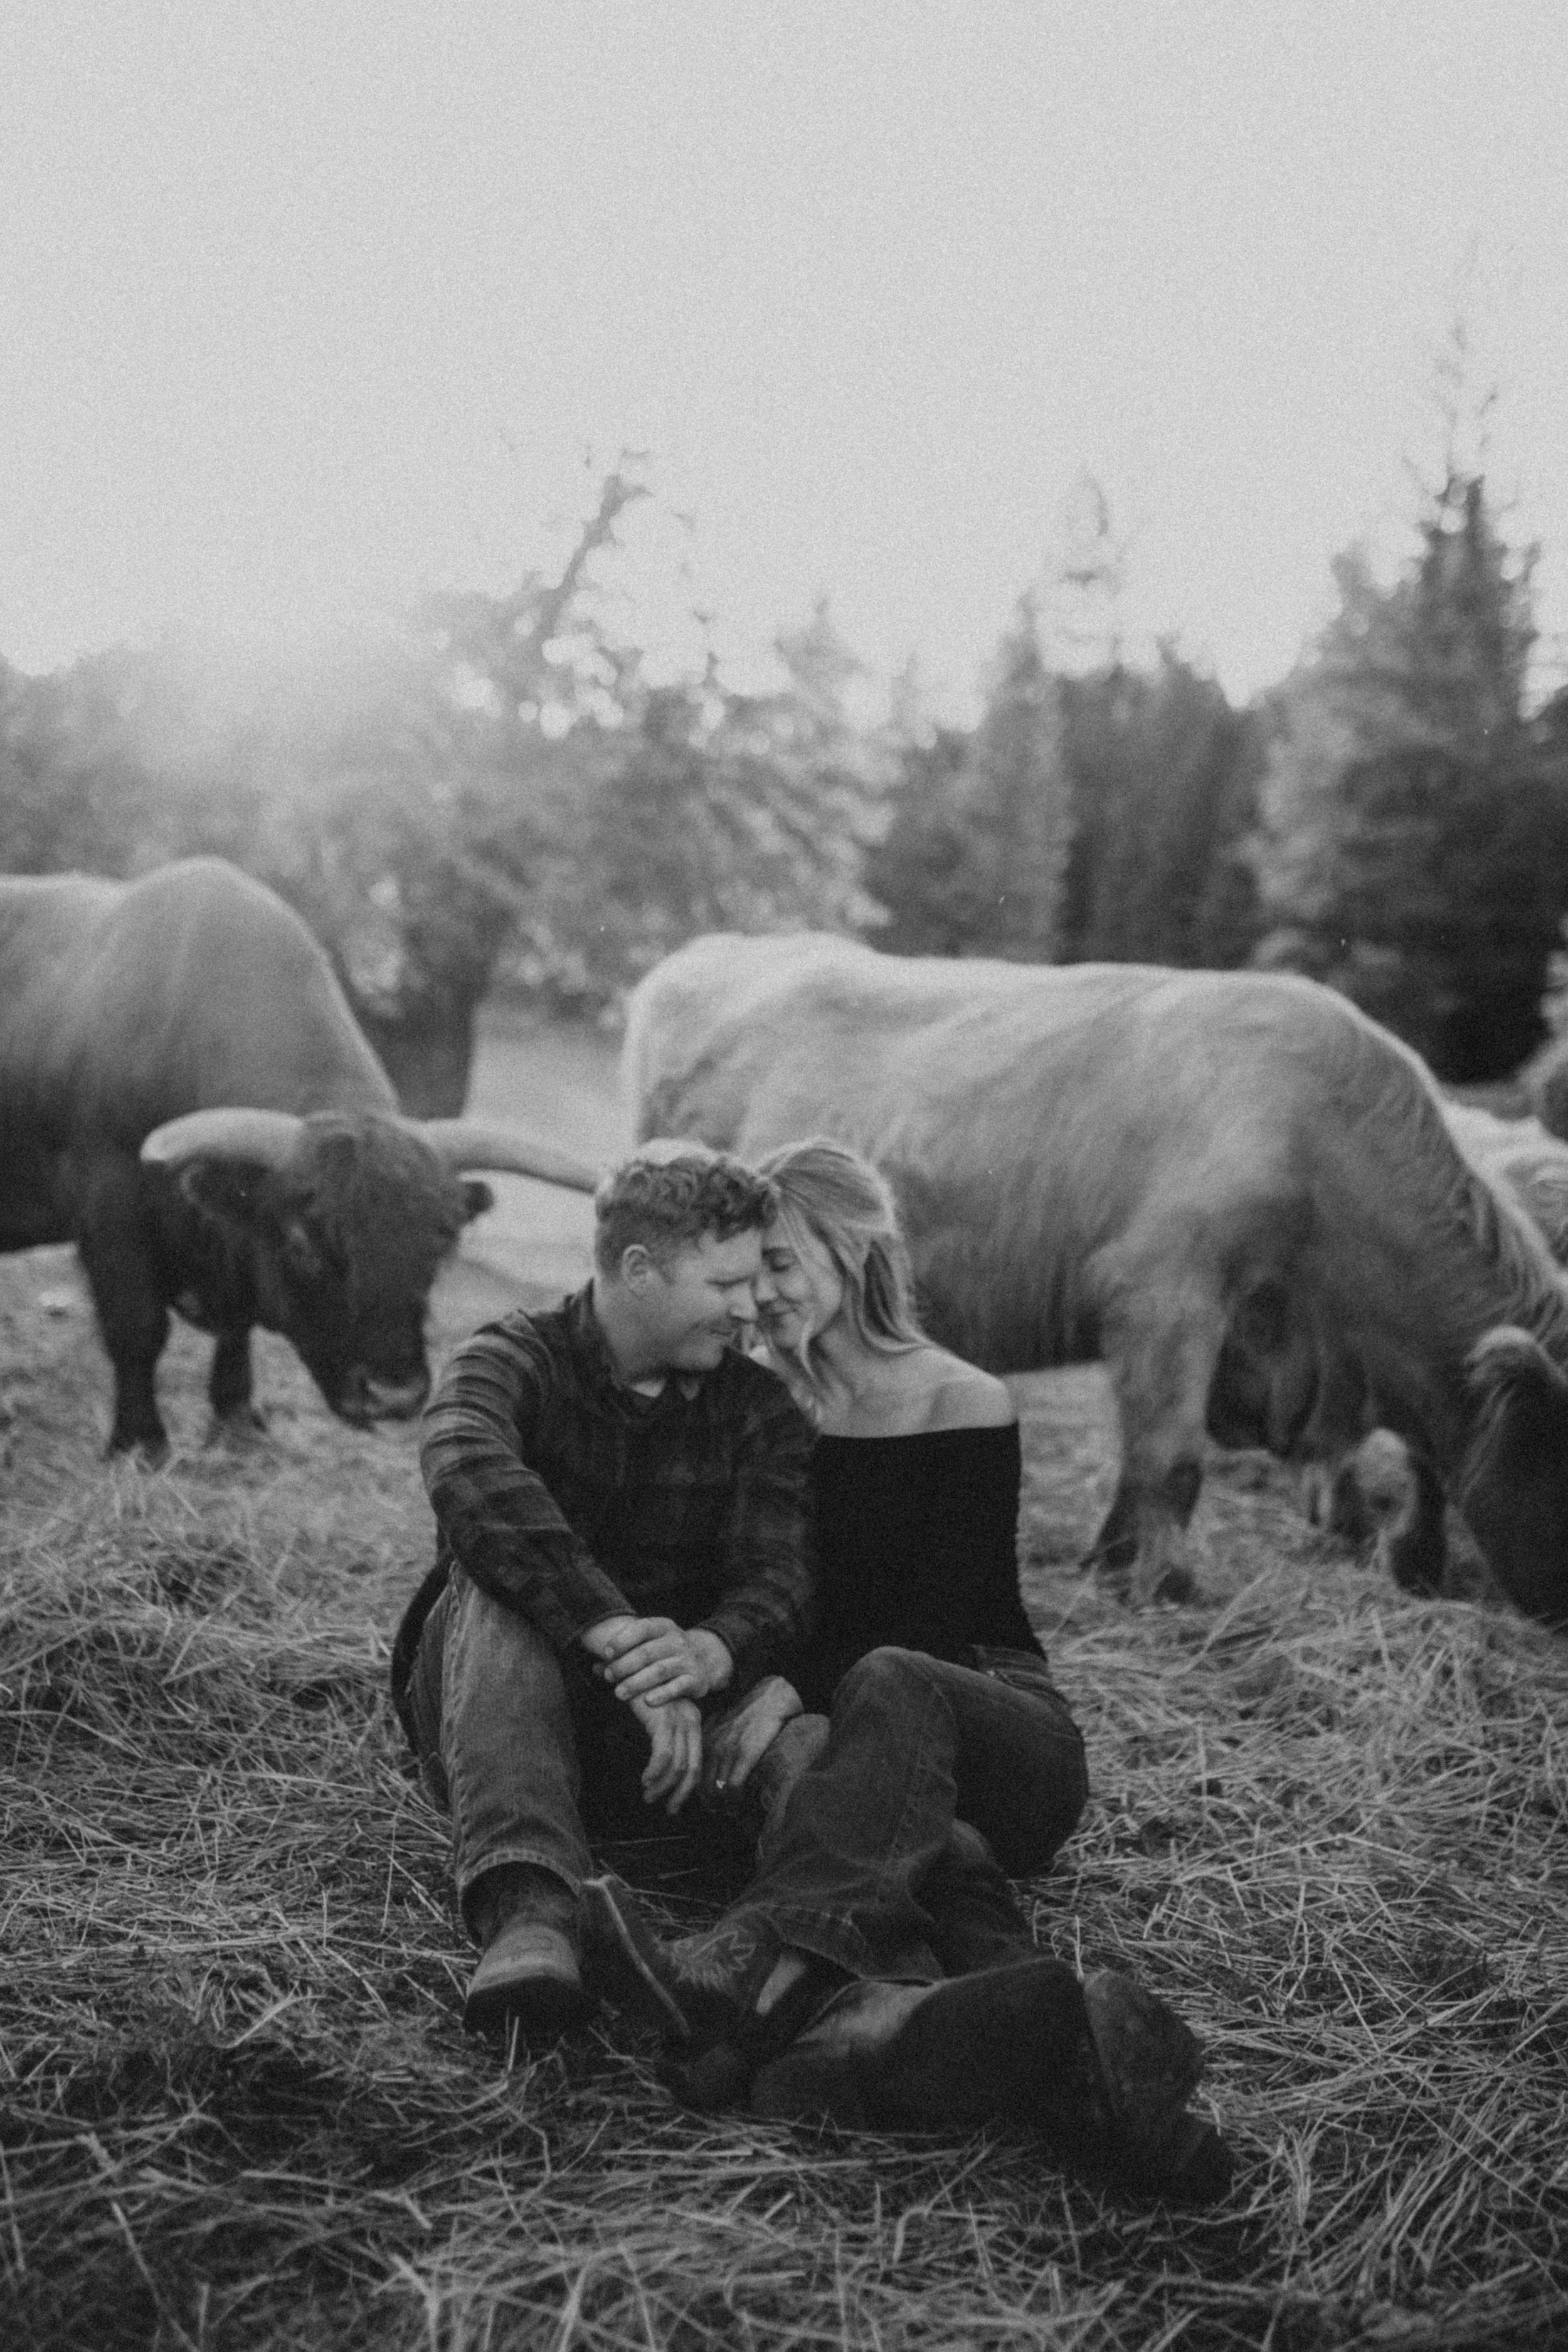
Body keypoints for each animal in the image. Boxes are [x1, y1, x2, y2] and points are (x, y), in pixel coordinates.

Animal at [0, 861, 607, 1449]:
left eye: (438, 1245)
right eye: (304, 1246)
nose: (394, 1395)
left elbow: (238, 1328)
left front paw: (237, 1418)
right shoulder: (111, 1212)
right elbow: (137, 1327)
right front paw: (140, 1440)